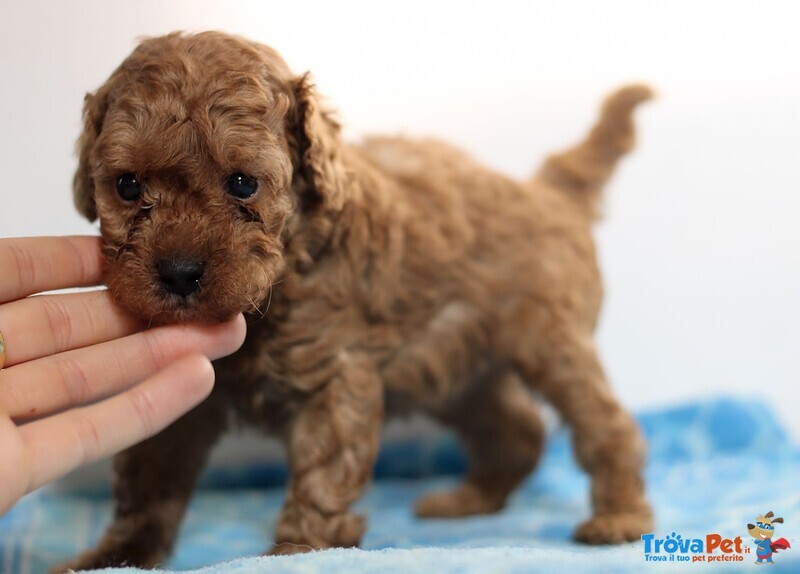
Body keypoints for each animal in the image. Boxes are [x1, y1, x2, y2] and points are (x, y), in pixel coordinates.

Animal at [59, 31, 652, 572]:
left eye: (243, 183)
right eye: (128, 186)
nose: (179, 273)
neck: (279, 281)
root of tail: (549, 191)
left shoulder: (334, 374)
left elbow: (322, 473)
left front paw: (295, 552)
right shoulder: (187, 396)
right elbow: (148, 480)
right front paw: (112, 557)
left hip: (550, 340)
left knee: (604, 423)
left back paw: (619, 518)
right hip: (459, 367)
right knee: (517, 430)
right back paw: (467, 501)